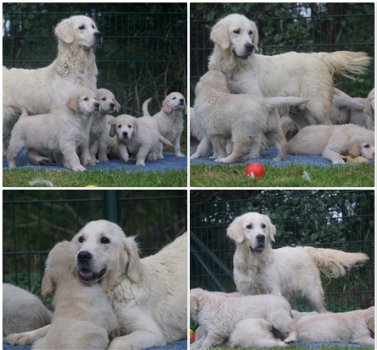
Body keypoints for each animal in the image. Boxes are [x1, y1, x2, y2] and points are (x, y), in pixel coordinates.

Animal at [209, 14, 370, 129]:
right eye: (236, 31)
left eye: (250, 33)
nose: (250, 46)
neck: (234, 67)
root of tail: (317, 56)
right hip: (297, 109)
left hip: (316, 106)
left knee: (328, 125)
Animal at [226, 211, 368, 312]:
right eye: (249, 226)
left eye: (263, 226)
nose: (261, 237)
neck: (254, 262)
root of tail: (305, 250)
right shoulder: (245, 292)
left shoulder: (273, 290)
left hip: (313, 293)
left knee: (323, 311)